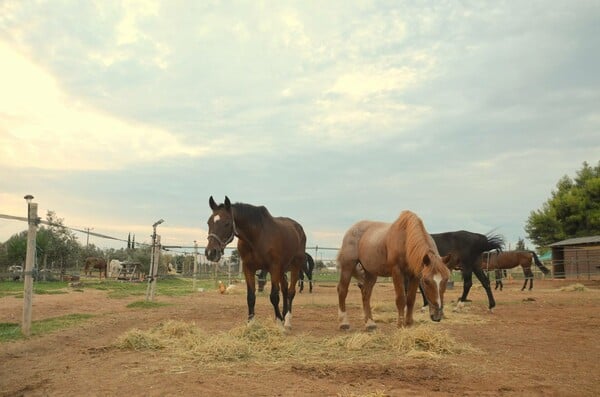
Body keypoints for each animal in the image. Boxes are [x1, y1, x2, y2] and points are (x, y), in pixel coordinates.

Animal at [207, 195, 310, 328]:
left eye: (227, 223)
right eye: (209, 222)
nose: (210, 252)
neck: (257, 237)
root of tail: (299, 229)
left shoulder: (274, 267)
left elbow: (274, 296)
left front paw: (278, 323)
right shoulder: (248, 268)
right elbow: (251, 297)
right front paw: (251, 323)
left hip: (295, 266)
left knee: (291, 292)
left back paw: (287, 320)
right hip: (282, 269)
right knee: (285, 289)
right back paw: (284, 315)